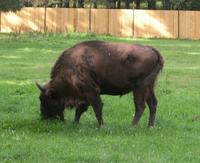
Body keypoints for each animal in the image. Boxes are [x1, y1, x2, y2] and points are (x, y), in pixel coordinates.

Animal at [36, 40, 164, 127]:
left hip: (139, 87)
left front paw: (101, 126)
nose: (43, 118)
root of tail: (153, 50)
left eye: (44, 99)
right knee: (153, 104)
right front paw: (75, 123)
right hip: (149, 87)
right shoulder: (84, 95)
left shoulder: (91, 91)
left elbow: (97, 107)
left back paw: (132, 126)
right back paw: (150, 126)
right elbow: (80, 110)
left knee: (140, 106)